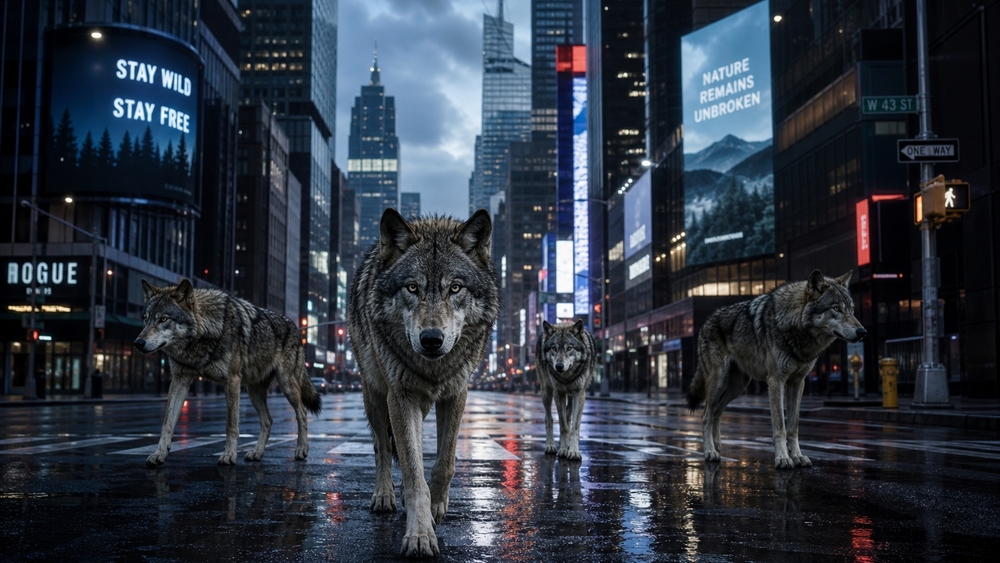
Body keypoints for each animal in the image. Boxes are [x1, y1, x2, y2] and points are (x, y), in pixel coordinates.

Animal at [134, 280, 321, 467]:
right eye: (145, 319)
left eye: (163, 319)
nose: (138, 343)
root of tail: (295, 327)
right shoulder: (180, 380)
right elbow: (167, 423)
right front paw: (159, 453)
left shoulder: (232, 381)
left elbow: (231, 424)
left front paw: (229, 455)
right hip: (253, 392)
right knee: (268, 420)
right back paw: (257, 453)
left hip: (286, 385)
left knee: (302, 413)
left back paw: (301, 449)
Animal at [347, 208, 500, 558]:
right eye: (412, 288)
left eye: (455, 288)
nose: (431, 339)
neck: (433, 369)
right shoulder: (401, 397)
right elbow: (413, 471)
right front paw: (419, 534)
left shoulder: (456, 393)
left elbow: (445, 463)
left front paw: (435, 508)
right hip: (376, 395)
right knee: (382, 446)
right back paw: (385, 495)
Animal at [536, 319, 596, 460]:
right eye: (554, 348)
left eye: (569, 348)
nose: (559, 366)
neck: (567, 377)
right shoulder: (559, 393)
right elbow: (563, 426)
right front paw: (563, 450)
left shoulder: (579, 394)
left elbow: (574, 427)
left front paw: (573, 451)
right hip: (546, 393)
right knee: (549, 419)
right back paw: (551, 445)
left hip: (571, 396)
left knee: (568, 417)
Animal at [686, 270, 866, 469]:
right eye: (836, 308)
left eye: (851, 309)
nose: (862, 332)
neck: (796, 327)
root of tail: (706, 322)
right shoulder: (776, 381)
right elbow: (780, 426)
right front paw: (783, 458)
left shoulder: (797, 382)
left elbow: (793, 426)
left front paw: (798, 456)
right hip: (718, 381)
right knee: (706, 415)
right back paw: (710, 452)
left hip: (738, 387)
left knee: (717, 412)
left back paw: (718, 446)